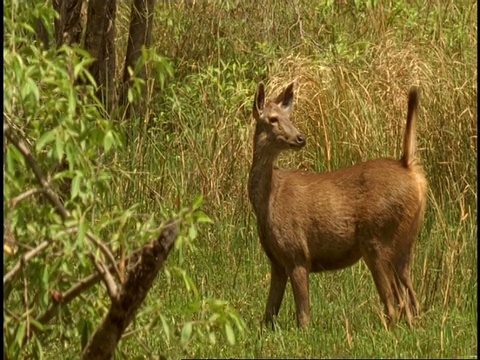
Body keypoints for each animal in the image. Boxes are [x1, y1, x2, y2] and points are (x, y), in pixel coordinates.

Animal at [248, 81, 428, 330]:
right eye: (273, 119)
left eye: (289, 117)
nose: (300, 138)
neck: (268, 201)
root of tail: (409, 168)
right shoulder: (276, 260)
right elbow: (269, 312)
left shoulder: (297, 252)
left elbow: (303, 314)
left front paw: (304, 334)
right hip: (406, 239)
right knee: (411, 299)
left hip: (378, 238)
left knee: (394, 302)